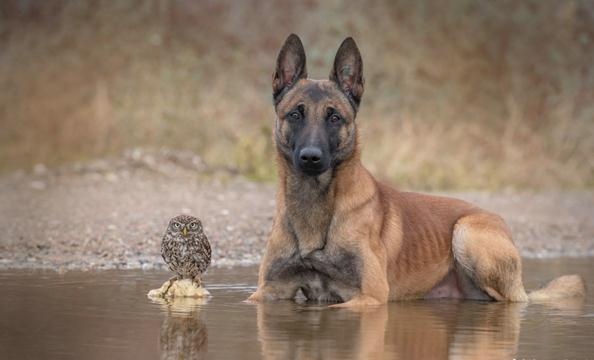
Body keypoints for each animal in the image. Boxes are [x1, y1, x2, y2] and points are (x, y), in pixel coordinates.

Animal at [246, 33, 584, 306]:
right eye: (295, 114)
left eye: (334, 117)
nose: (311, 158)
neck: (314, 205)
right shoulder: (266, 293)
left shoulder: (369, 298)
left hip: (467, 234)